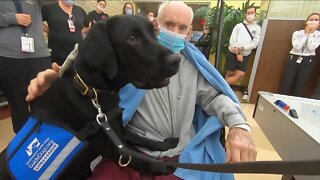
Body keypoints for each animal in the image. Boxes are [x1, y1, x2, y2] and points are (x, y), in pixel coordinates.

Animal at [0, 15, 180, 179]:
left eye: (154, 33)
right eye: (132, 38)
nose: (176, 60)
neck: (92, 91)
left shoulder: (116, 129)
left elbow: (143, 139)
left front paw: (167, 143)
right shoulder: (113, 149)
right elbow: (145, 160)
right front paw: (170, 167)